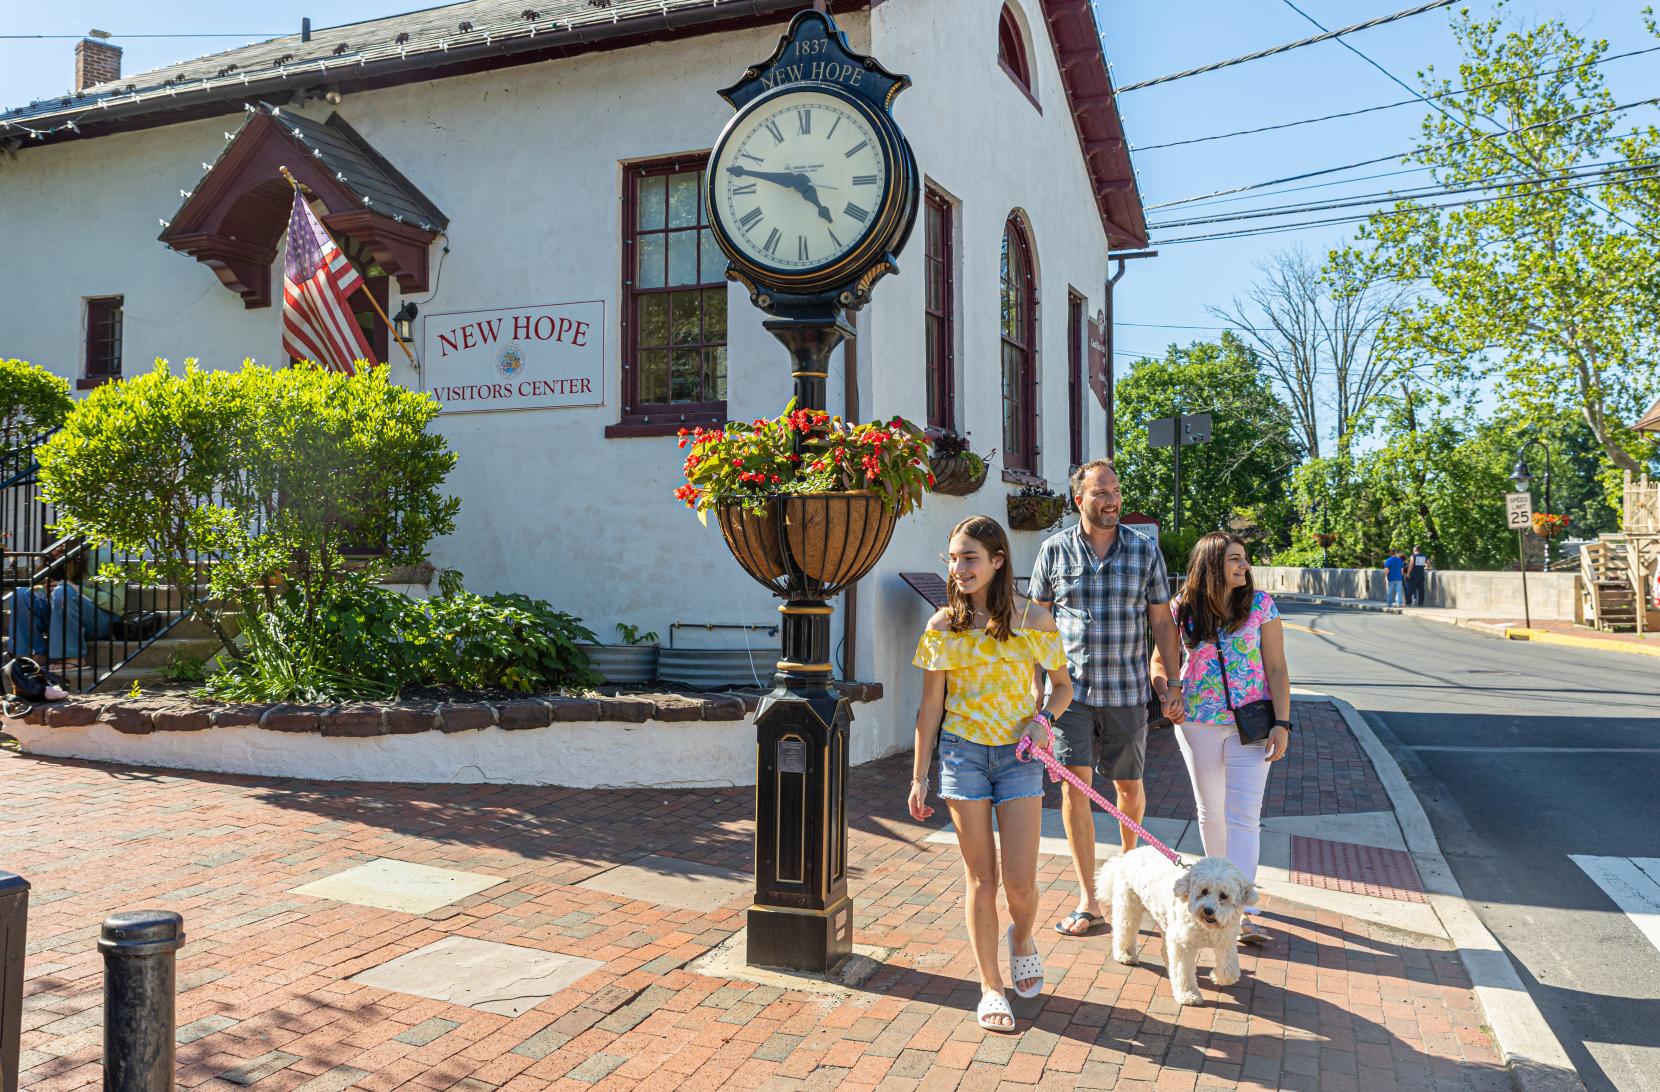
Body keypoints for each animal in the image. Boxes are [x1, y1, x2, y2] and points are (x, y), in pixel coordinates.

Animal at [1095, 843, 1248, 1002]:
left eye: (1224, 896)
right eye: (1204, 891)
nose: (1208, 910)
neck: (1206, 927)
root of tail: (1132, 852)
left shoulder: (1226, 941)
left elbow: (1230, 970)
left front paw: (1217, 977)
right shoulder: (1183, 944)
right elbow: (1183, 971)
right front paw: (1188, 994)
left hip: (1166, 920)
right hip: (1128, 906)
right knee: (1125, 929)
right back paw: (1125, 955)